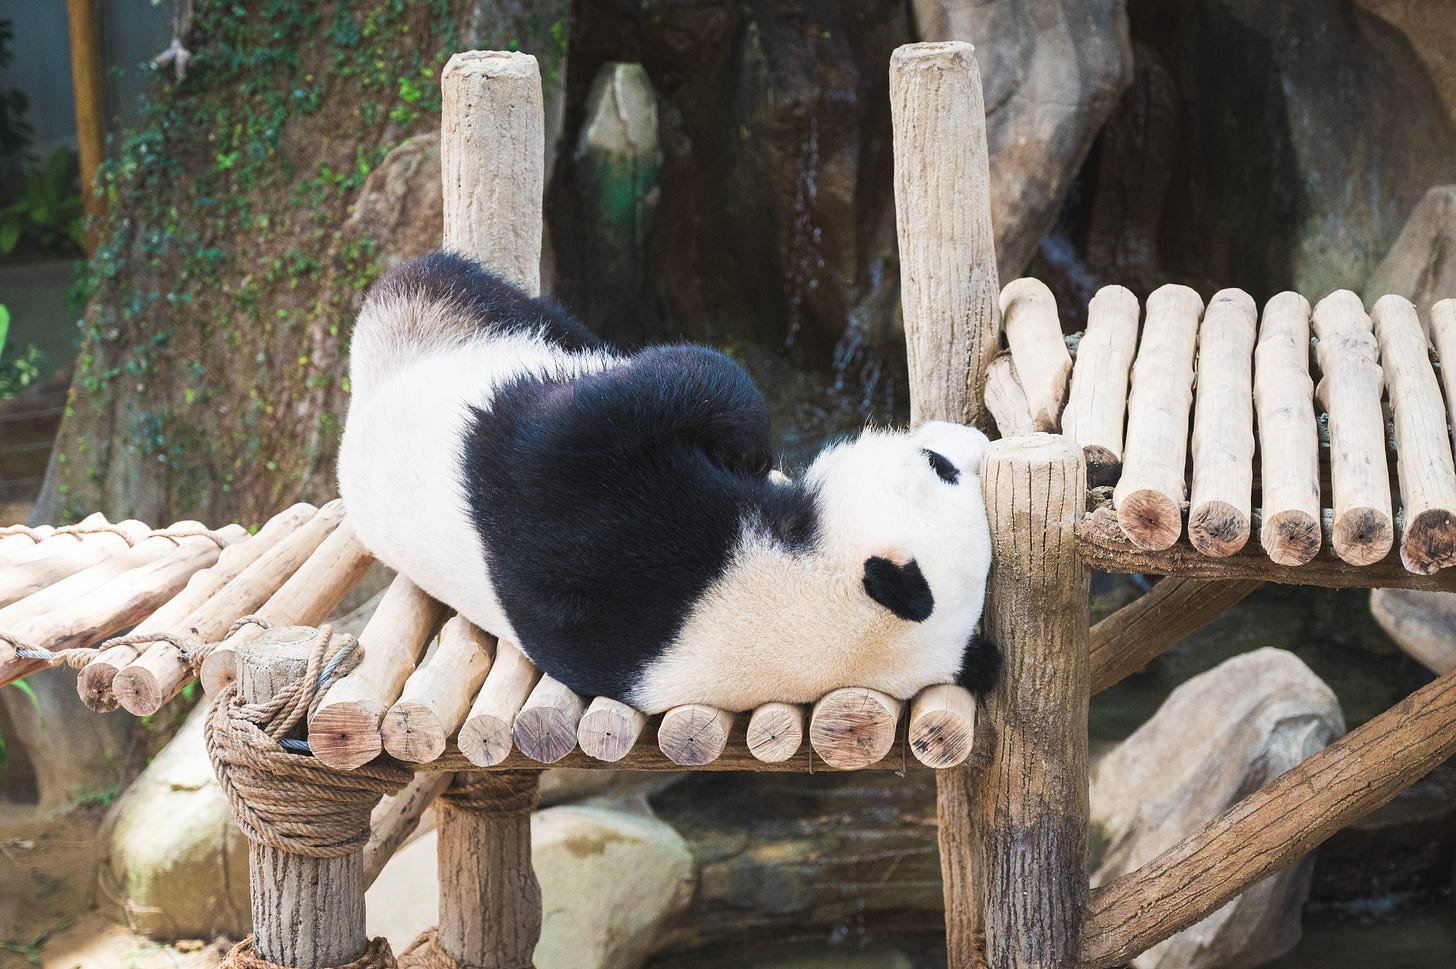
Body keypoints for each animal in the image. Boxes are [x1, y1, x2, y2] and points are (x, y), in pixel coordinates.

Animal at [337, 251, 999, 714]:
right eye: (941, 464)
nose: (977, 443)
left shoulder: (618, 549)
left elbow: (562, 442)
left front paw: (742, 439)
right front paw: (749, 448)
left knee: (439, 282)